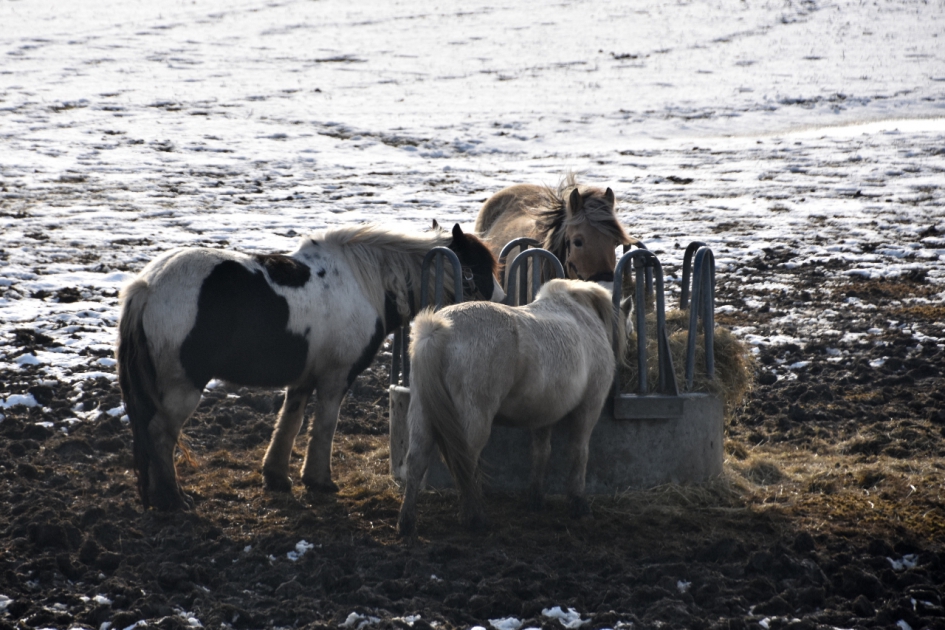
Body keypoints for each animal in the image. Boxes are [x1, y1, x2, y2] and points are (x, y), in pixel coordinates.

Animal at [117, 222, 504, 511]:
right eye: (478, 270)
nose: (503, 302)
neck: (363, 283)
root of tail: (146, 286)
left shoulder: (303, 378)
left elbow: (290, 421)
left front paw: (277, 477)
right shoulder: (336, 377)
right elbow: (325, 425)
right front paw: (319, 480)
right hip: (182, 387)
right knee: (160, 435)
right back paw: (173, 499)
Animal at [397, 279, 626, 536]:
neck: (583, 314)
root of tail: (438, 331)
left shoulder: (543, 415)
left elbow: (541, 453)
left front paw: (536, 498)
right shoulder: (589, 407)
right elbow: (579, 452)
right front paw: (579, 504)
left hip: (421, 415)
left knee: (416, 462)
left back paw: (407, 522)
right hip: (472, 420)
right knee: (465, 462)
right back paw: (474, 518)